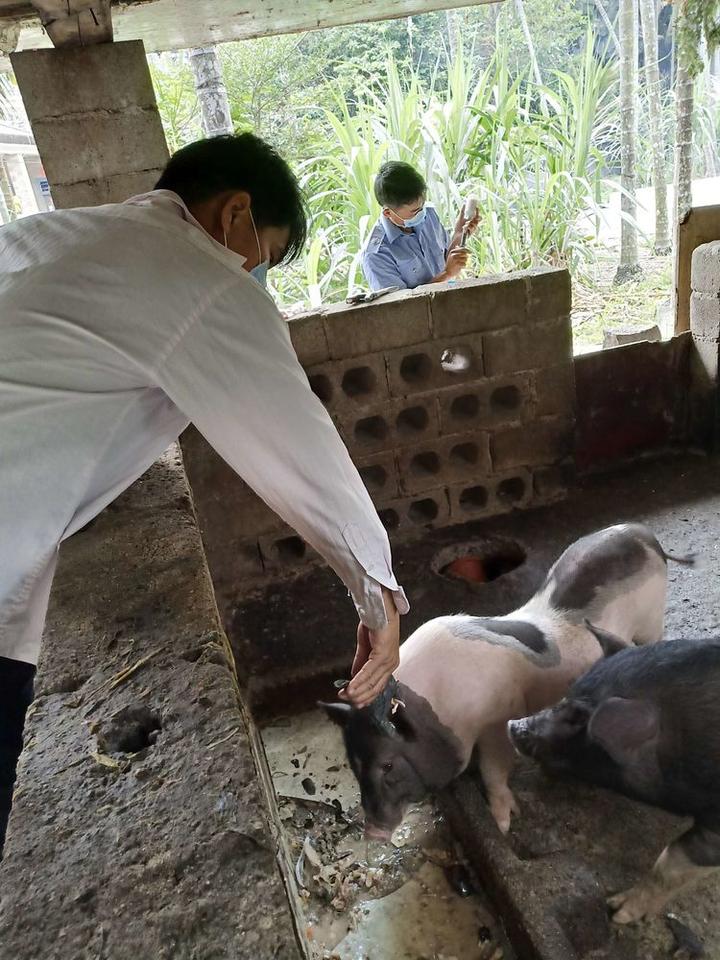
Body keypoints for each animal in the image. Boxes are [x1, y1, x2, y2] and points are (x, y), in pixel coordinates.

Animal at [320, 524, 692, 840]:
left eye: (387, 764)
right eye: (353, 764)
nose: (373, 832)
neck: (441, 706)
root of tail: (642, 533)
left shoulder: (499, 716)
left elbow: (493, 769)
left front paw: (503, 825)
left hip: (651, 619)